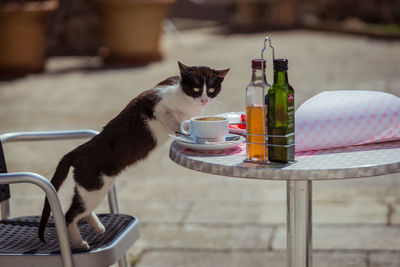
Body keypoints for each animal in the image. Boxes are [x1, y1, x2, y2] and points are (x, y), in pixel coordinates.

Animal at [39, 61, 230, 250]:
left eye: (211, 90)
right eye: (196, 89)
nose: (204, 100)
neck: (186, 101)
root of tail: (79, 150)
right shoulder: (152, 104)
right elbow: (169, 117)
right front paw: (182, 130)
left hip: (93, 187)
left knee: (81, 207)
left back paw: (97, 226)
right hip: (93, 186)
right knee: (70, 215)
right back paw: (79, 243)